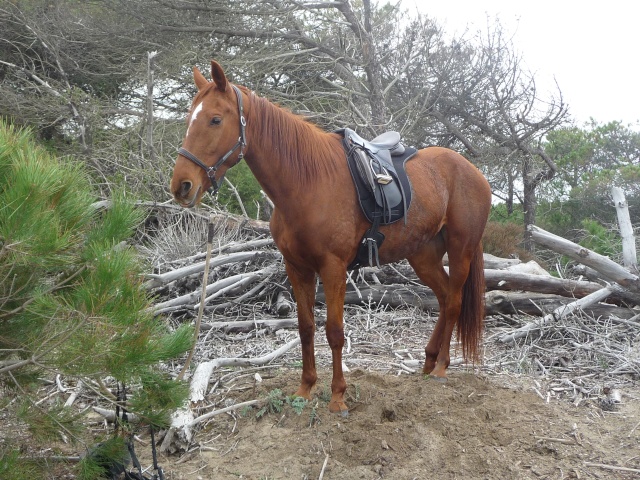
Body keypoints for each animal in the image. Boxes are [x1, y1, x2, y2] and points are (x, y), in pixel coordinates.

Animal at [169, 59, 490, 412]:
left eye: (215, 119)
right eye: (189, 118)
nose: (181, 185)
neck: (306, 183)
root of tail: (473, 171)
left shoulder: (333, 268)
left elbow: (335, 331)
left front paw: (338, 396)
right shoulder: (297, 267)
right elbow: (306, 327)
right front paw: (306, 387)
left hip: (461, 250)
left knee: (455, 301)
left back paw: (442, 366)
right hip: (423, 255)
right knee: (445, 297)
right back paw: (429, 361)